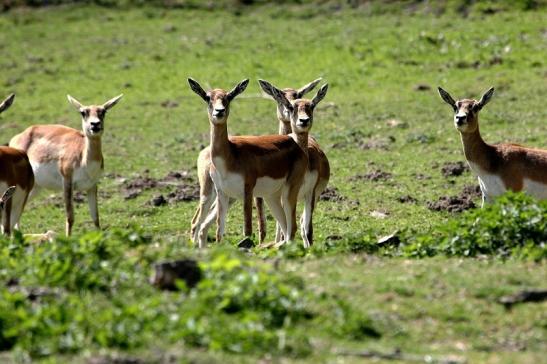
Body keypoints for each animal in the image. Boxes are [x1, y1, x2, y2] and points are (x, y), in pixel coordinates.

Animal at [9, 94, 123, 236]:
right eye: (83, 112)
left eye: (103, 111)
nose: (95, 124)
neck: (84, 160)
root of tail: (17, 137)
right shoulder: (67, 182)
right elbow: (70, 217)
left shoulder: (92, 186)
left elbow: (95, 217)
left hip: (35, 187)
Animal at [191, 78, 324, 246]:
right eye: (208, 98)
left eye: (229, 97)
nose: (219, 111)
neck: (229, 156)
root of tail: (297, 144)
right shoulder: (222, 192)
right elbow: (219, 232)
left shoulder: (248, 191)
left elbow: (248, 230)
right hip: (266, 197)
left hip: (289, 193)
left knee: (292, 227)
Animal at [260, 78, 332, 246]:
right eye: (279, 96)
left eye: (311, 106)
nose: (303, 121)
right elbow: (283, 227)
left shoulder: (310, 192)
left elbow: (307, 229)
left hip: (313, 196)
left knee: (302, 223)